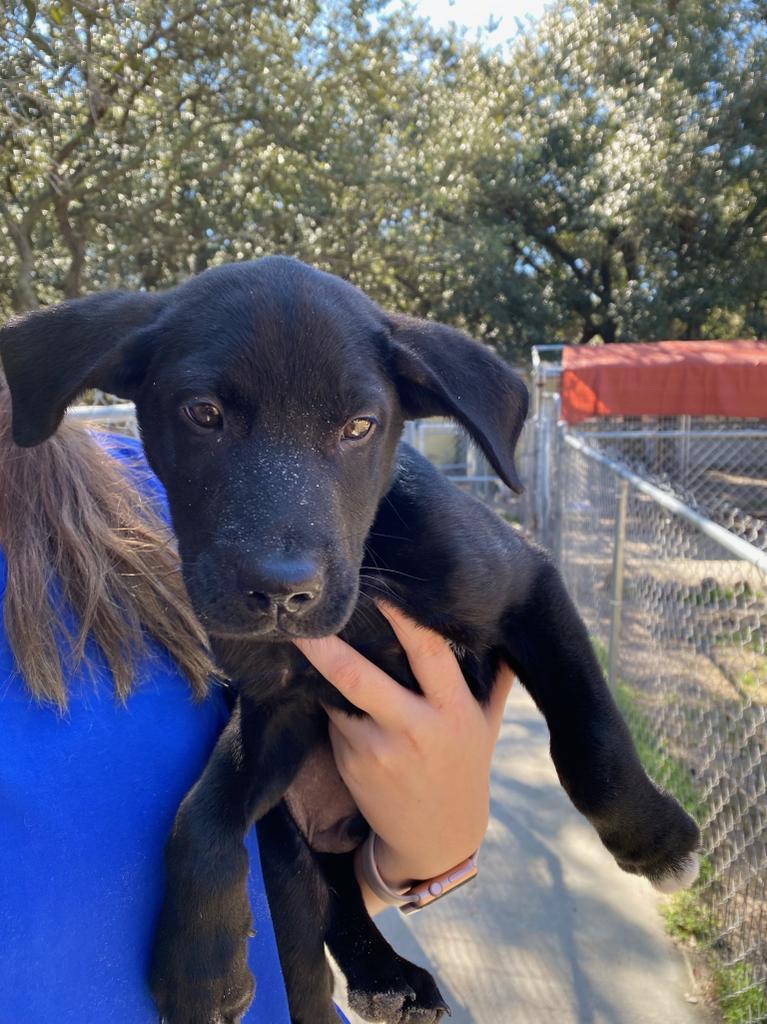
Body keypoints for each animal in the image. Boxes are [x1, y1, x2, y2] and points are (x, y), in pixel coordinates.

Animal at [1, 260, 700, 1024]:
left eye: (360, 426)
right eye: (203, 414)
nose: (281, 592)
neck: (365, 591)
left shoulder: (530, 586)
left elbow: (590, 735)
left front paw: (653, 839)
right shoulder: (276, 705)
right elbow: (203, 809)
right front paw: (200, 966)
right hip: (287, 854)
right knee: (315, 942)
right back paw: (380, 972)